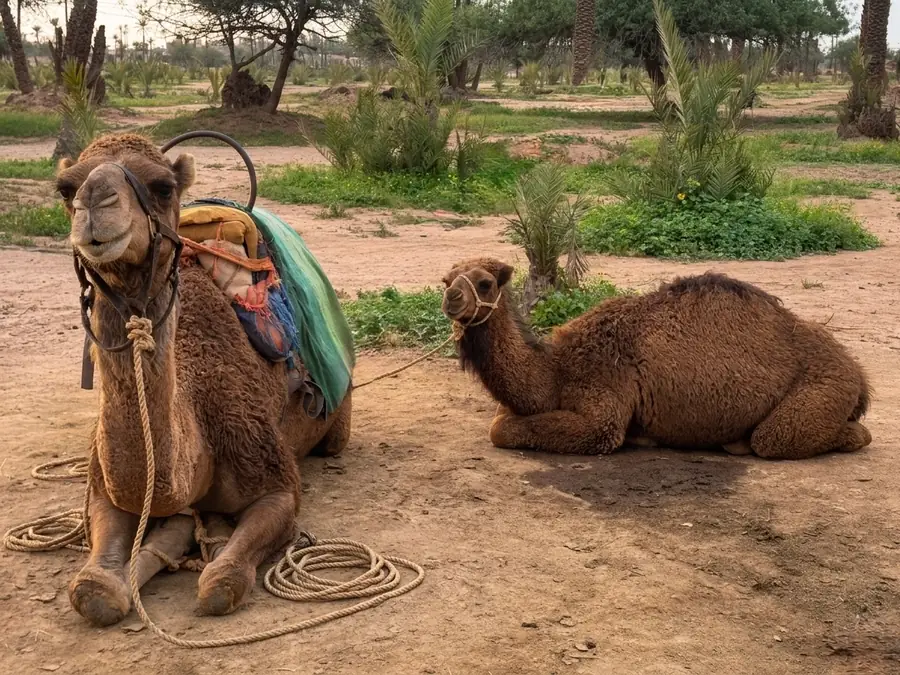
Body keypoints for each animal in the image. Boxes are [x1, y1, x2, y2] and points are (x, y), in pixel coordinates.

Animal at [56, 133, 352, 626]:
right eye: (64, 189)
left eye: (162, 187)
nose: (95, 201)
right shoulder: (102, 489)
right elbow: (93, 589)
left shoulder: (275, 480)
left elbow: (223, 582)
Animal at [441, 258, 872, 459]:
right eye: (447, 279)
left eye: (485, 283)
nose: (451, 298)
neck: (556, 371)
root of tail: (859, 373)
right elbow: (500, 423)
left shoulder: (603, 410)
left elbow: (504, 431)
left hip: (825, 388)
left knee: (781, 438)